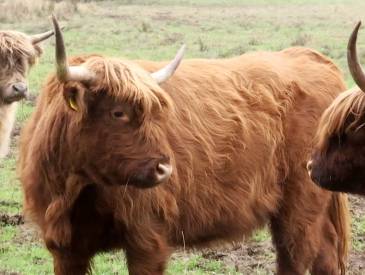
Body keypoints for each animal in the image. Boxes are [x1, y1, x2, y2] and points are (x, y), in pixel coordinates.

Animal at [19, 17, 350, 275]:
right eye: (118, 112)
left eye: (154, 112)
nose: (164, 169)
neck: (76, 186)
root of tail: (309, 57)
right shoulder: (66, 249)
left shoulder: (147, 240)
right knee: (325, 254)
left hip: (300, 205)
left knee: (295, 255)